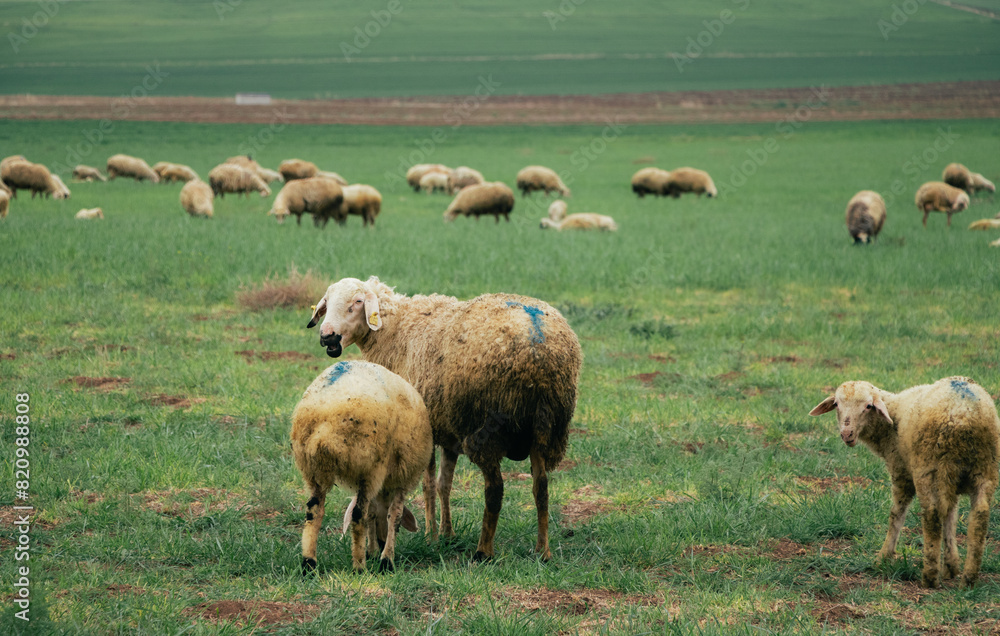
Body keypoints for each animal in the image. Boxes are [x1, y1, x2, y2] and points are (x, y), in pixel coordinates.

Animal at [291, 360, 433, 573]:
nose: (381, 543)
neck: (384, 493)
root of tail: (325, 425)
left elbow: (371, 514)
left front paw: (374, 552)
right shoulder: (403, 478)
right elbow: (394, 515)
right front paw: (385, 560)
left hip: (314, 470)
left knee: (313, 511)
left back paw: (309, 563)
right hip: (370, 469)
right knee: (358, 514)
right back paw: (359, 566)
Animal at [306, 276, 582, 562]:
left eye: (358, 301)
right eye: (327, 302)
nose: (327, 336)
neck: (398, 330)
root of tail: (539, 349)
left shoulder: (422, 428)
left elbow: (428, 486)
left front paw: (430, 536)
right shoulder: (448, 432)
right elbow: (443, 484)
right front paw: (447, 534)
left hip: (488, 428)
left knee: (495, 490)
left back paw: (483, 551)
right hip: (546, 428)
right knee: (541, 488)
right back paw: (542, 551)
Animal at [809, 376, 999, 588]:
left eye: (868, 406)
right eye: (836, 404)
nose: (846, 434)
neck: (891, 418)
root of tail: (965, 414)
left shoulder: (901, 473)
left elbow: (896, 515)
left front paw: (883, 557)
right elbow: (951, 515)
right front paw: (951, 567)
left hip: (929, 467)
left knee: (932, 515)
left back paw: (930, 576)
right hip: (984, 469)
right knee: (979, 518)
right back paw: (969, 578)